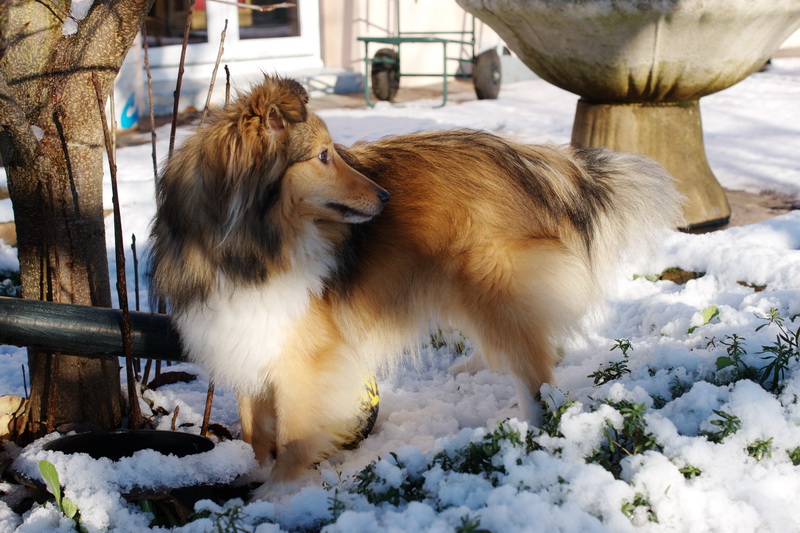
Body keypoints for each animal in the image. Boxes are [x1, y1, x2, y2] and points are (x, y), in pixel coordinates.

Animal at [148, 76, 680, 494]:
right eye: (322, 156)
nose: (386, 196)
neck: (245, 247)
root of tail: (536, 160)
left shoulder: (306, 355)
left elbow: (296, 432)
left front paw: (276, 495)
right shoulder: (244, 333)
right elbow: (254, 427)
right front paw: (254, 472)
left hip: (490, 283)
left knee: (537, 375)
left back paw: (530, 437)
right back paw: (474, 368)